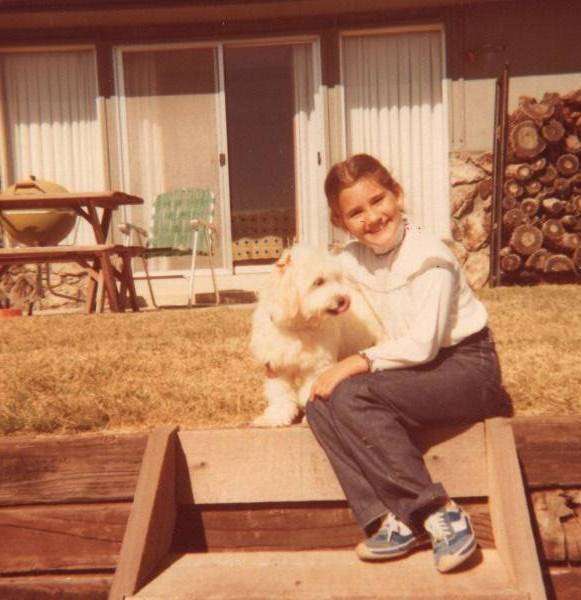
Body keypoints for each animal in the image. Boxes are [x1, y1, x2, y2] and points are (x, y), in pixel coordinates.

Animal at [250, 244, 384, 427]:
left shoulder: (317, 367)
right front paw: (275, 418)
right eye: (318, 282)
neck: (298, 327)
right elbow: (280, 394)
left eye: (336, 278)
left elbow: (308, 391)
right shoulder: (277, 367)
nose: (343, 300)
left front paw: (307, 419)